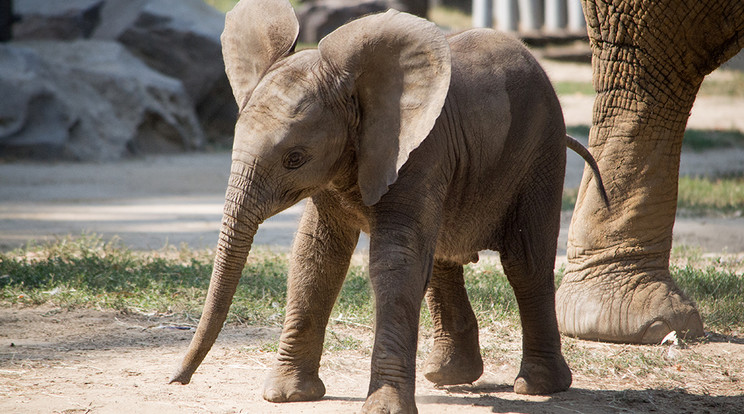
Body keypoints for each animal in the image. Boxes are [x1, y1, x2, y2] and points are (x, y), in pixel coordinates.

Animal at [171, 0, 608, 410]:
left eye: (295, 158)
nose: (177, 380)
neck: (355, 89)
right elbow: (316, 255)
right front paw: (287, 396)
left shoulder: (420, 150)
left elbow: (394, 260)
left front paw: (383, 408)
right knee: (441, 256)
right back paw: (448, 376)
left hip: (540, 154)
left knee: (525, 262)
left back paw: (537, 386)